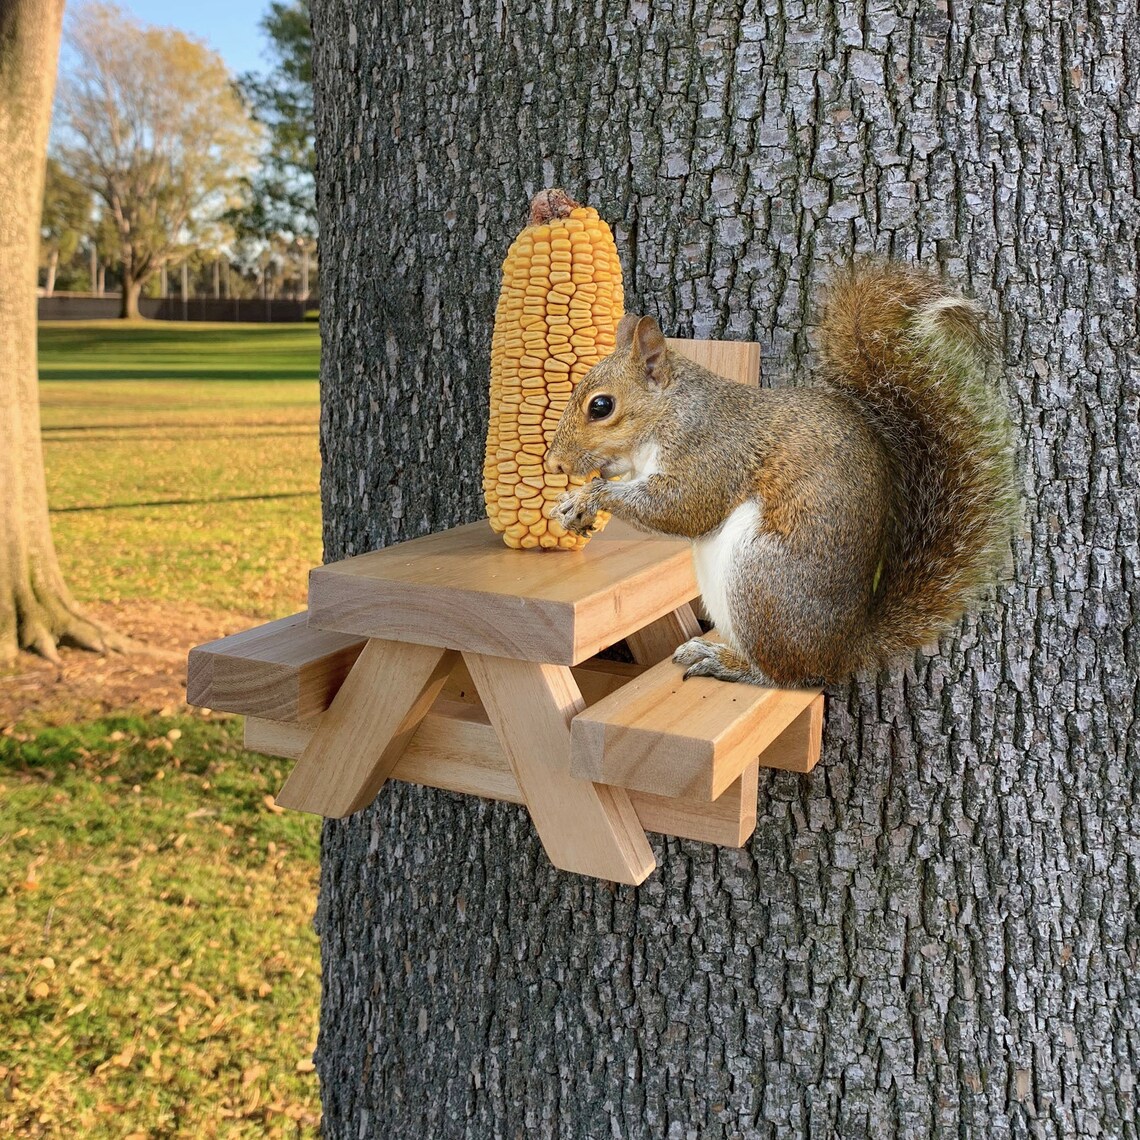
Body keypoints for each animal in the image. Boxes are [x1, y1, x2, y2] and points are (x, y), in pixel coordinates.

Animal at [544, 262, 1018, 688]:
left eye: (601, 406)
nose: (556, 464)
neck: (672, 410)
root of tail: (841, 650)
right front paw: (573, 506)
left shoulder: (712, 450)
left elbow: (683, 507)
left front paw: (588, 498)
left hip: (759, 579)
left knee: (783, 675)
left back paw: (730, 664)